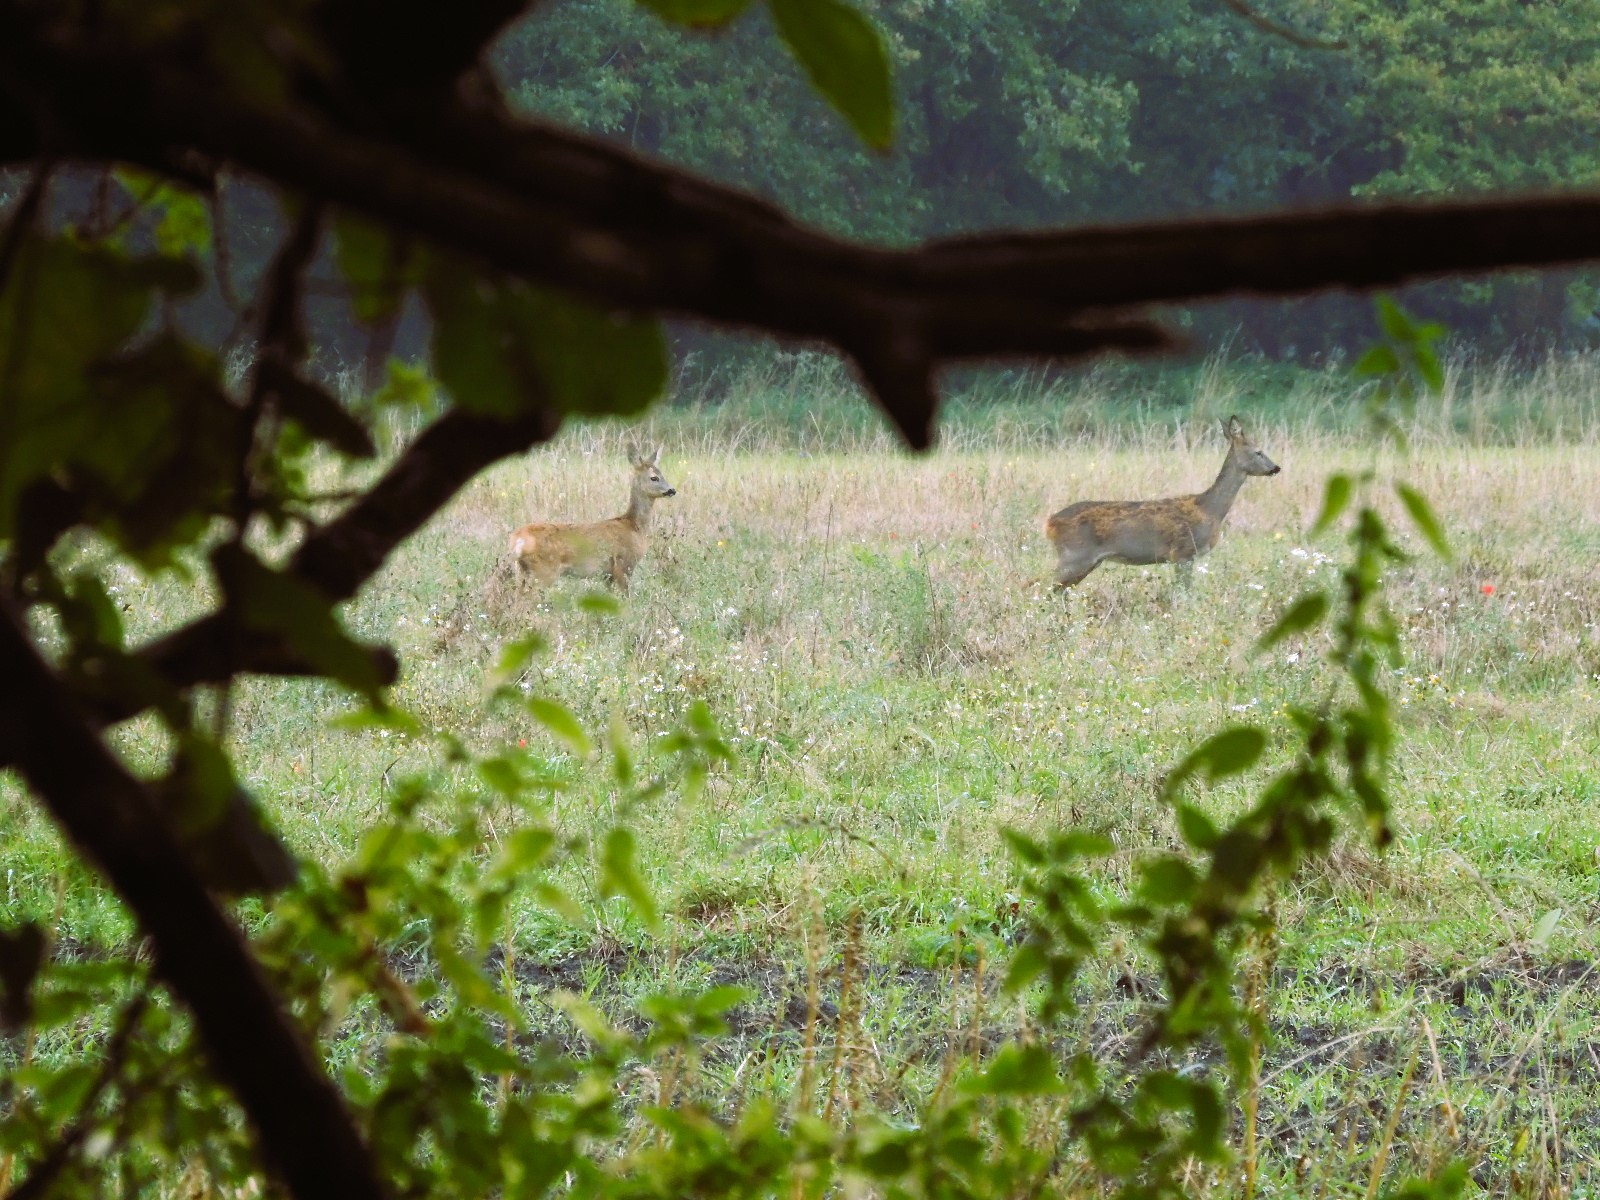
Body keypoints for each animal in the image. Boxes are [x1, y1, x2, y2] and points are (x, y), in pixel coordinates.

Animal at [508, 444, 677, 591]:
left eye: (663, 474)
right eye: (654, 478)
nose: (672, 490)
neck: (634, 526)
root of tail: (517, 539)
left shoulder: (608, 574)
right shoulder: (623, 564)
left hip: (524, 571)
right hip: (544, 570)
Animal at [1045, 416, 1280, 590]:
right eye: (1259, 452)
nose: (1276, 467)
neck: (1210, 510)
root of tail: (1050, 523)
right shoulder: (1183, 552)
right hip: (1074, 556)